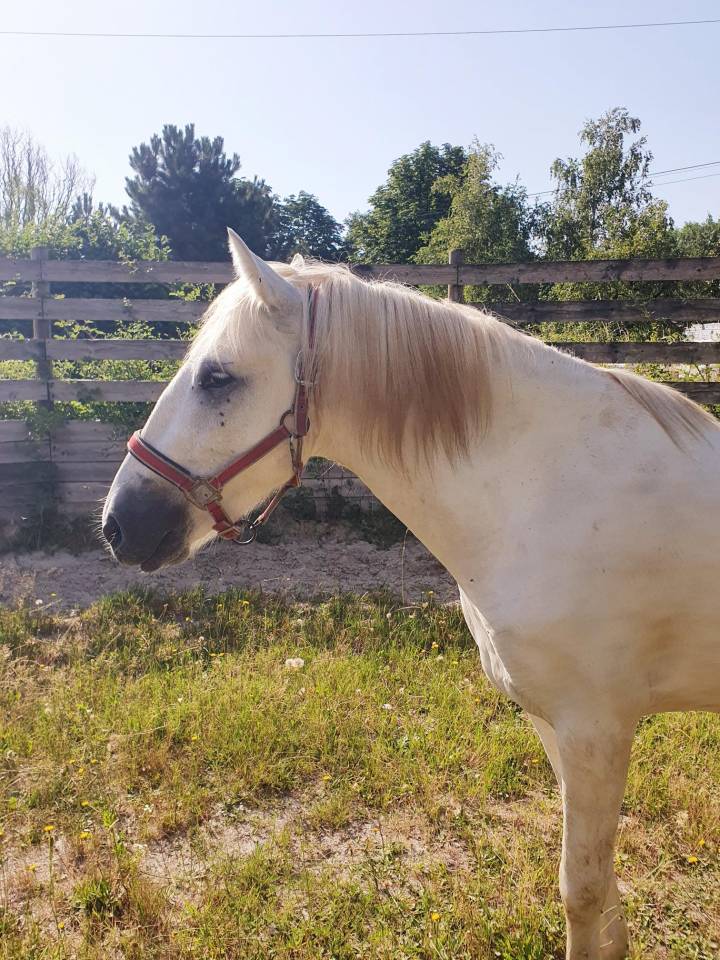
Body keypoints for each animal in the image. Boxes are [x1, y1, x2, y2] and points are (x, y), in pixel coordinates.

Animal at [102, 230, 720, 960]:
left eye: (217, 377)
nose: (118, 525)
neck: (550, 490)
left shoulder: (596, 728)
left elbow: (583, 890)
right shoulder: (558, 725)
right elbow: (603, 891)